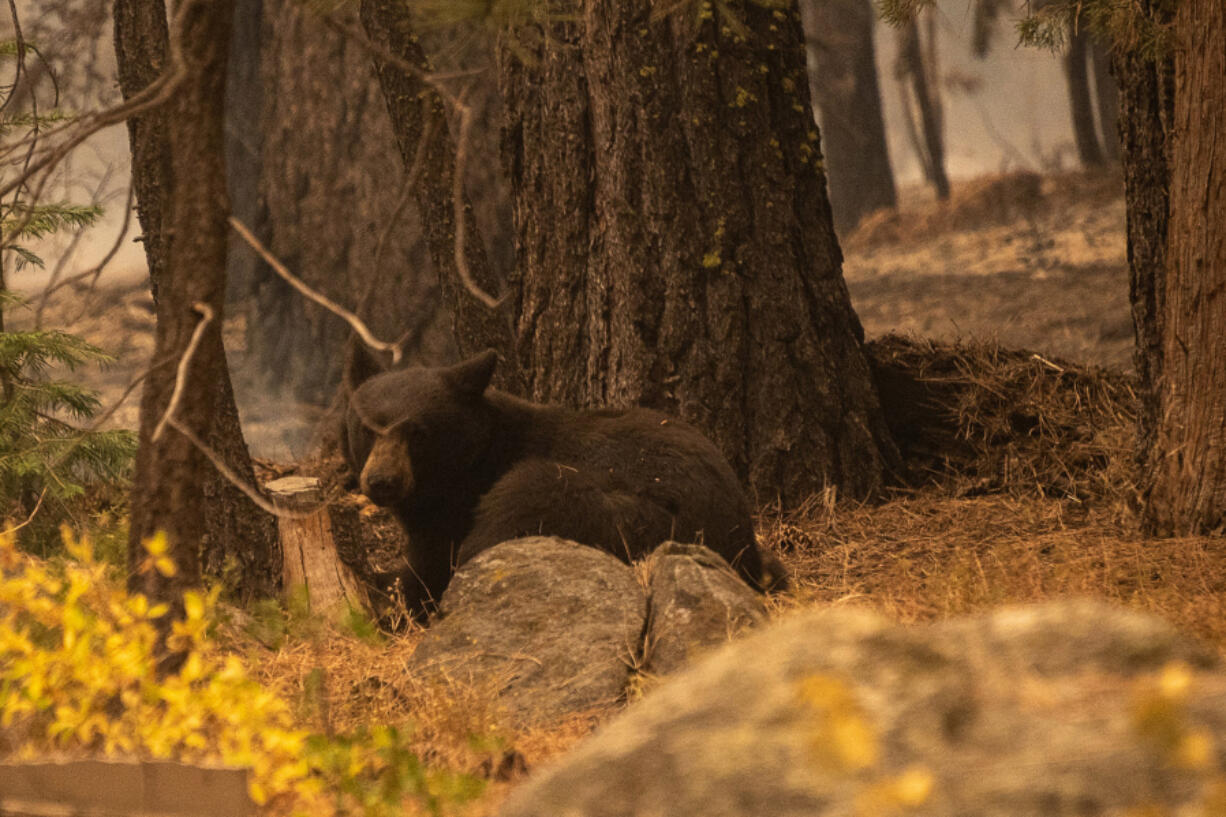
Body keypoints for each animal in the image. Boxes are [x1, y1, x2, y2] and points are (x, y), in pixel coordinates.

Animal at [340, 345, 779, 618]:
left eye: (418, 432)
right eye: (368, 428)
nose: (382, 481)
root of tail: (736, 530)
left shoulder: (454, 510)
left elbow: (431, 563)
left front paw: (399, 600)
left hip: (621, 515)